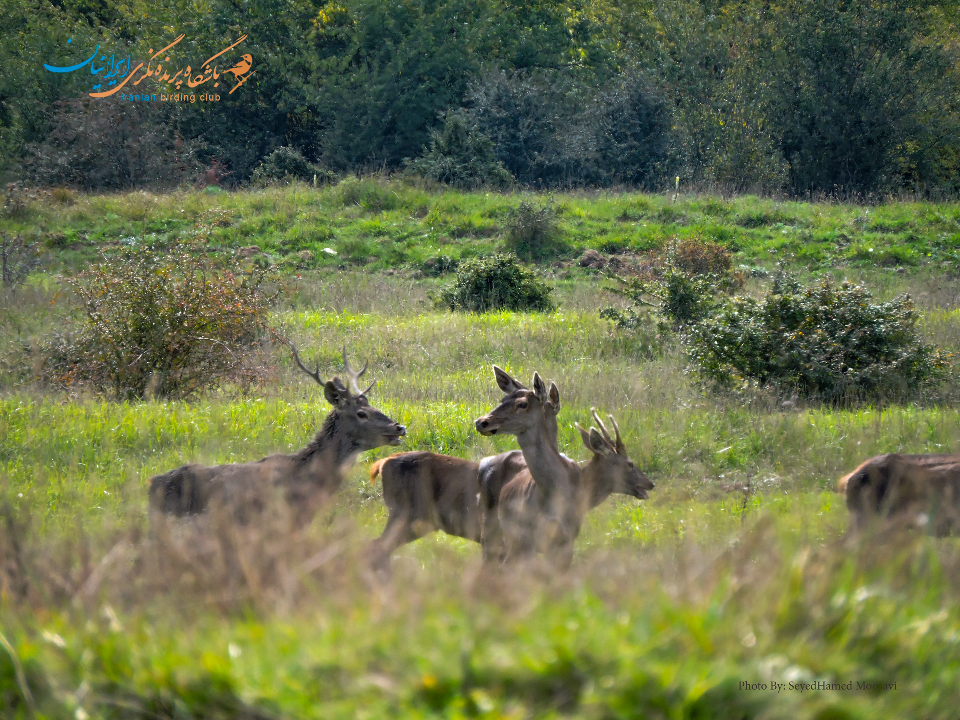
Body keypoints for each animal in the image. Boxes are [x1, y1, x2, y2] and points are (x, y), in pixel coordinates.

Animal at [368, 368, 564, 572]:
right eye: (502, 400)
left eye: (522, 404)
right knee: (376, 547)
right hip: (406, 513)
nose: (482, 422)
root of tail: (382, 464)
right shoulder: (492, 536)